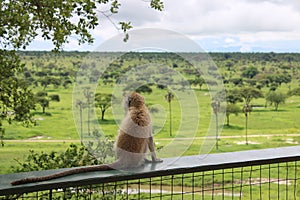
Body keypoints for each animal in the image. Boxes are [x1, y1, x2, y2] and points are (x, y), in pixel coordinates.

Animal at [11, 92, 162, 186]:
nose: (124, 104)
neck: (138, 107)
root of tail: (124, 159)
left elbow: (149, 139)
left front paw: (154, 159)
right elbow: (150, 139)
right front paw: (155, 159)